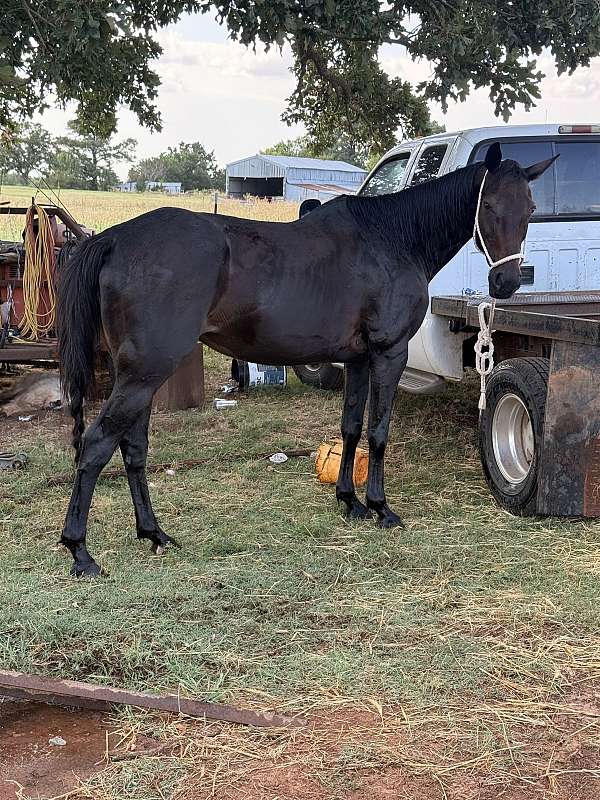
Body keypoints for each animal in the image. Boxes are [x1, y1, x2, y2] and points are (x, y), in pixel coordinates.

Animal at [57, 142, 556, 577]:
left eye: (530, 209)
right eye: (489, 207)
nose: (508, 282)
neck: (393, 240)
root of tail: (116, 239)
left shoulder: (358, 360)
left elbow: (351, 427)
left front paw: (350, 501)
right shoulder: (387, 354)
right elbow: (378, 431)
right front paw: (381, 507)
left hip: (139, 374)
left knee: (133, 448)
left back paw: (153, 533)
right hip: (145, 373)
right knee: (97, 445)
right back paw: (80, 550)